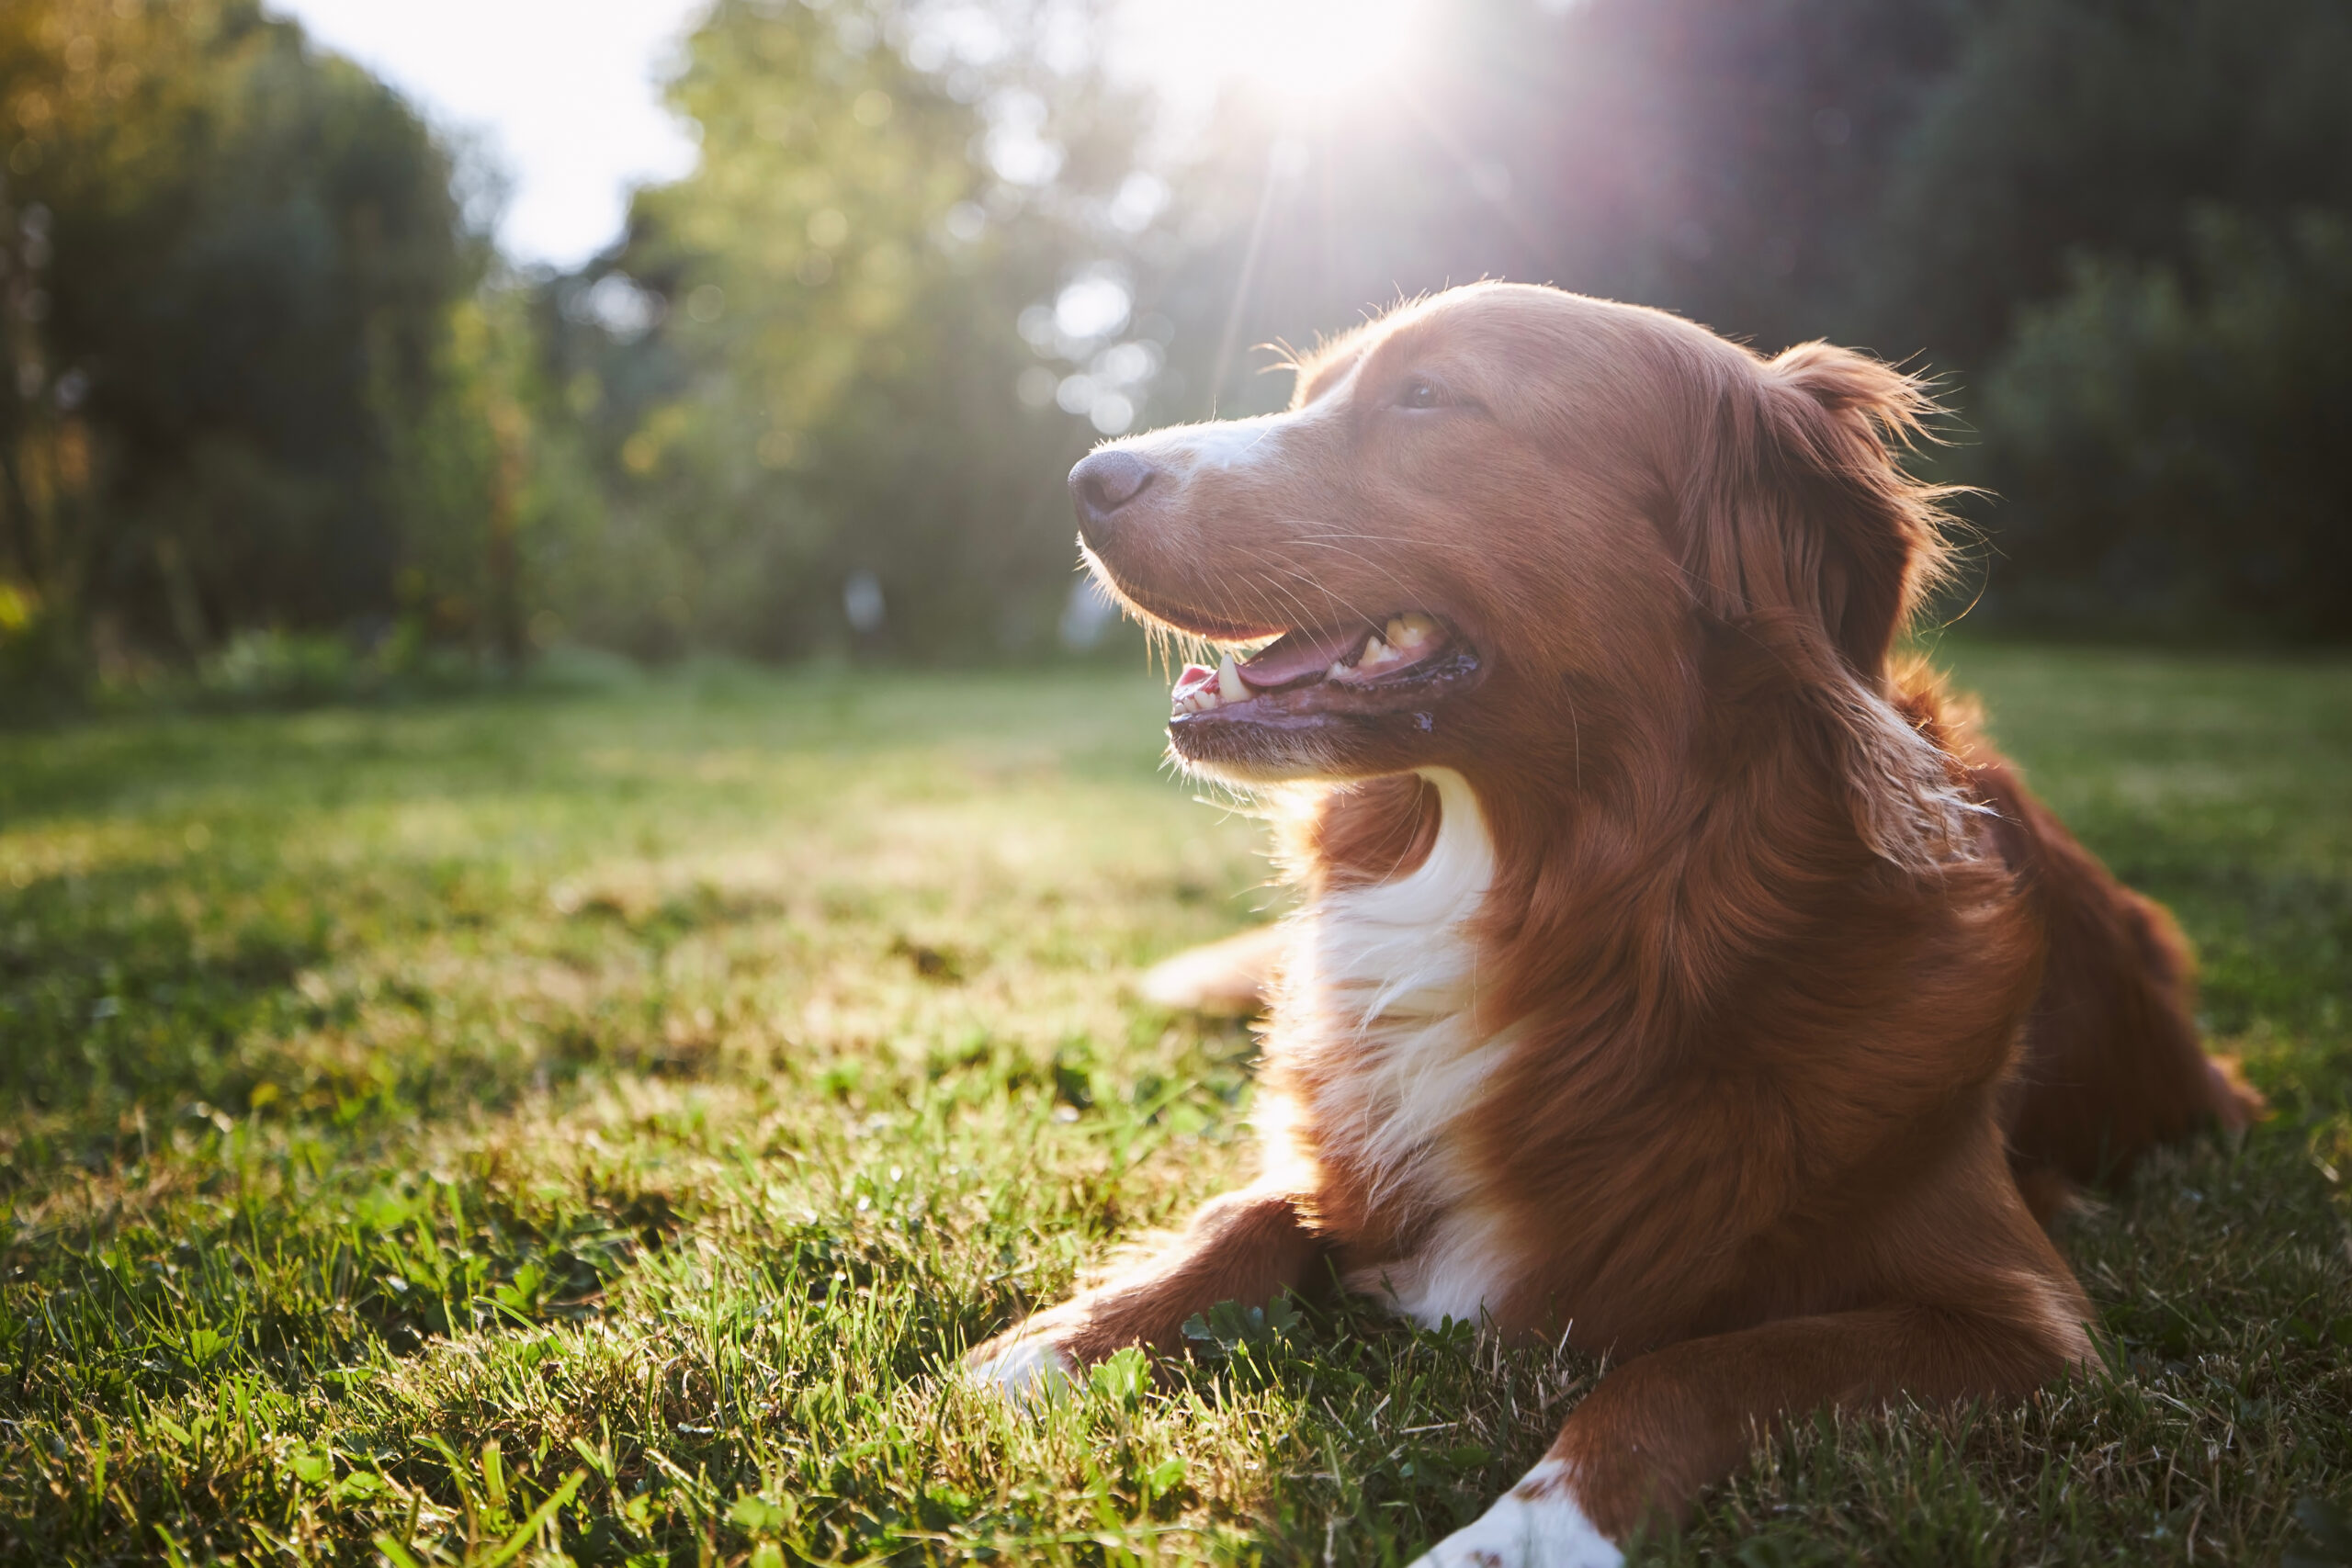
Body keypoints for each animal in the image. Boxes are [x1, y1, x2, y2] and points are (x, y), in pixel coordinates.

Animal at [959, 285, 2257, 1568]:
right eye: (1310, 391)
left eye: (1427, 396)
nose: (1088, 477)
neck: (1604, 908)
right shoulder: (1349, 1138)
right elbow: (1243, 1215)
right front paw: (1035, 1352)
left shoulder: (2019, 1321)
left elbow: (1698, 1368)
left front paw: (1521, 1534)